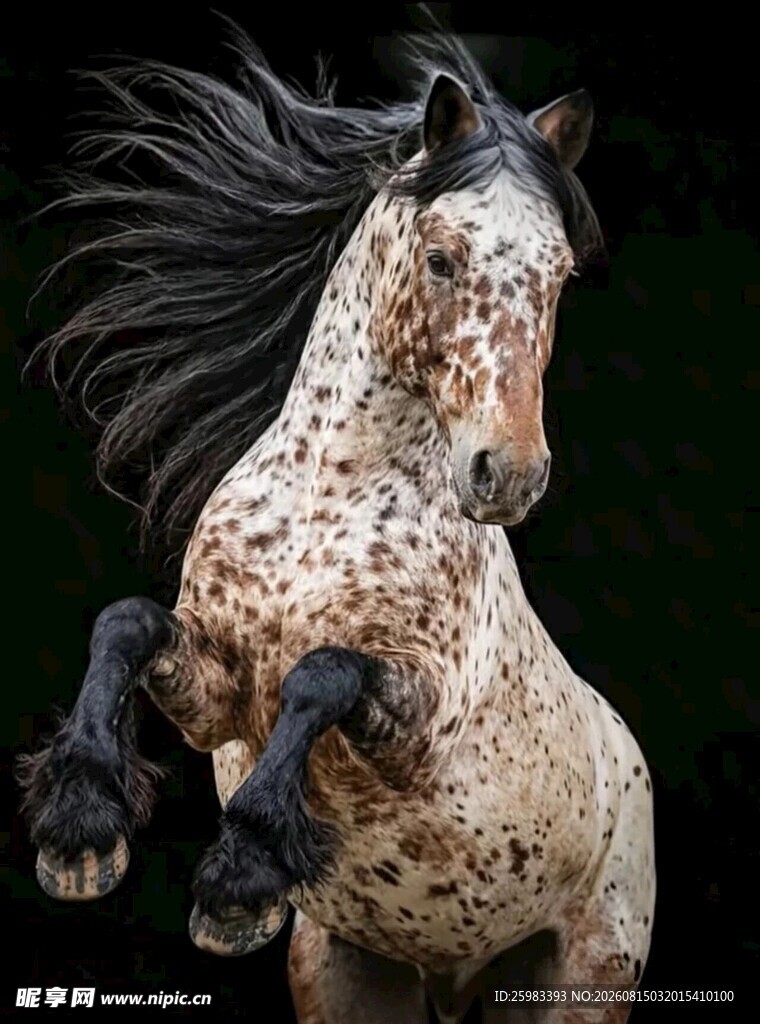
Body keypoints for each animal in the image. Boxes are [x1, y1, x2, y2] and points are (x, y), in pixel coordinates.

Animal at [19, 26, 655, 1023]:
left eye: (558, 275)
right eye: (442, 258)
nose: (509, 474)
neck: (330, 506)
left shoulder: (417, 723)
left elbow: (322, 672)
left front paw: (238, 882)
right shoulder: (212, 692)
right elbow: (127, 622)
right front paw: (79, 836)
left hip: (583, 978)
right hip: (346, 970)